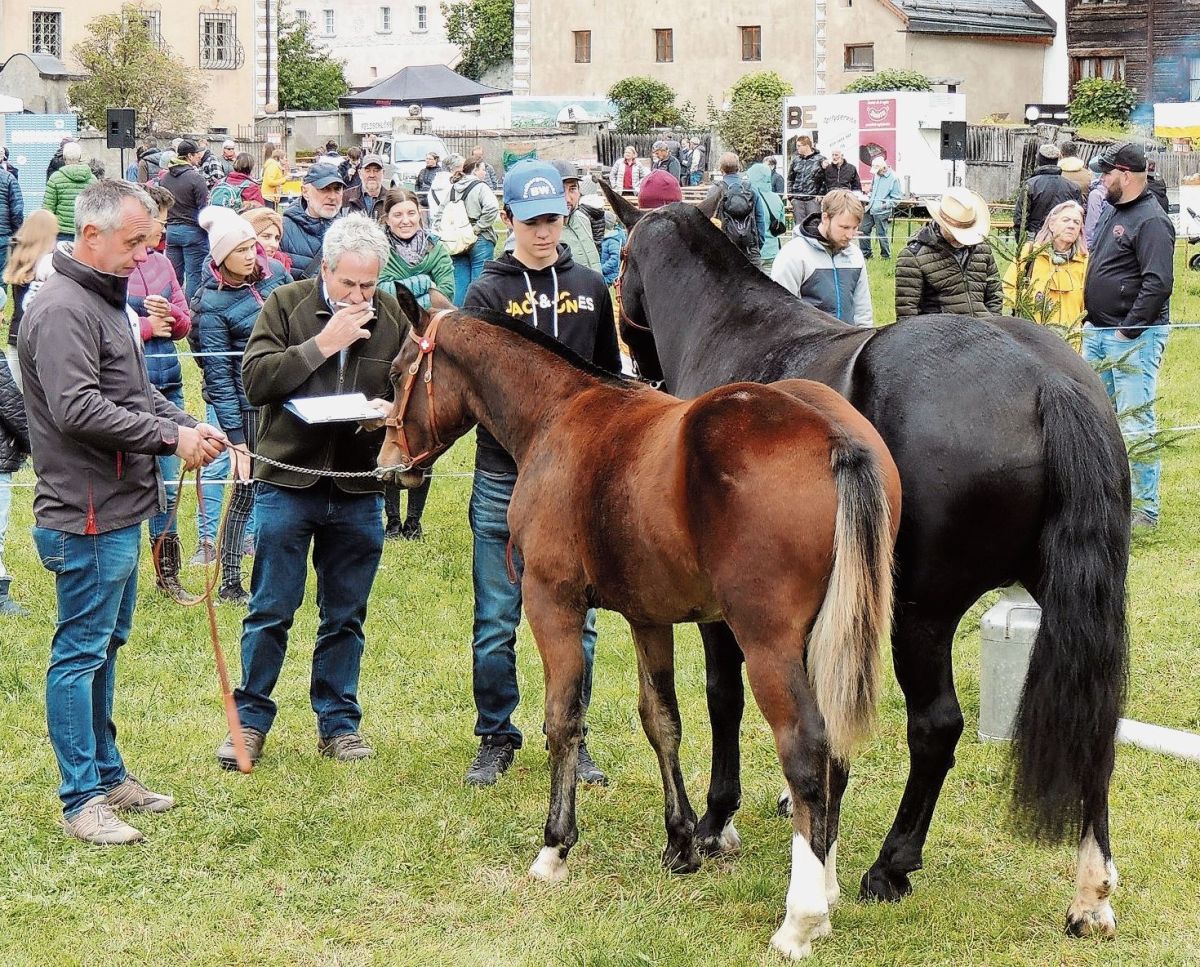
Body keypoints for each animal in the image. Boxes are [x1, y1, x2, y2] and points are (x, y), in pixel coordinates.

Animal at [377, 300, 901, 959]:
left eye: (397, 373)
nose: (387, 466)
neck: (559, 415)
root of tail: (834, 437)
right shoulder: (648, 618)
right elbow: (662, 722)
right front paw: (680, 842)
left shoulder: (552, 602)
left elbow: (563, 719)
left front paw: (555, 847)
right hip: (825, 640)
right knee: (834, 752)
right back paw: (826, 888)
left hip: (769, 647)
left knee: (806, 752)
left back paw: (800, 919)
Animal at [600, 181, 1130, 939]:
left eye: (620, 263)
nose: (632, 362)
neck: (733, 332)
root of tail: (1045, 382)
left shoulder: (727, 612)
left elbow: (725, 700)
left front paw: (717, 821)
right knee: (1094, 721)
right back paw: (1091, 893)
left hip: (922, 614)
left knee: (936, 726)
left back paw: (893, 865)